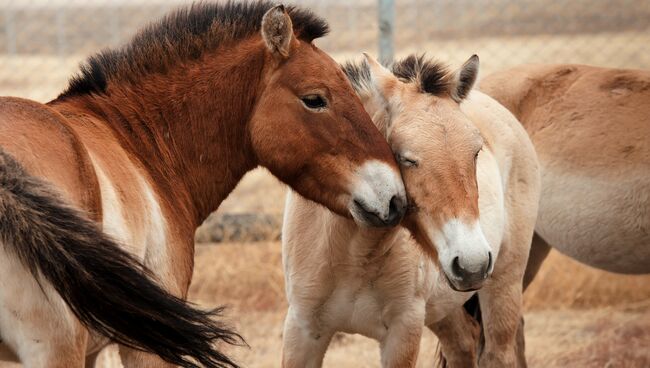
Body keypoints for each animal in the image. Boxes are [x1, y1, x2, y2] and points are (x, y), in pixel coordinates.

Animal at [280, 54, 540, 368]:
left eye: (476, 152)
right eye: (405, 158)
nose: (472, 264)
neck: (353, 255)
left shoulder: (403, 332)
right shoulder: (302, 330)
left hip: (504, 284)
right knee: (462, 347)